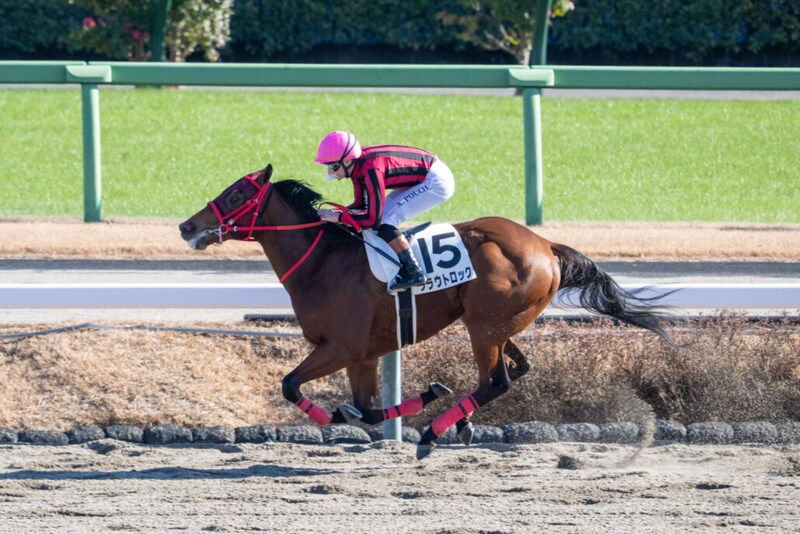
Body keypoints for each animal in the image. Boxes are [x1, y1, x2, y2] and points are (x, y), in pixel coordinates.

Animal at [179, 164, 676, 459]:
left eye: (236, 193)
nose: (187, 226)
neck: (322, 261)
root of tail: (544, 244)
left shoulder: (341, 347)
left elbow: (291, 385)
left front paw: (356, 414)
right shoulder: (362, 355)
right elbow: (366, 409)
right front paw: (419, 396)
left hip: (484, 325)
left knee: (496, 380)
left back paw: (433, 434)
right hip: (502, 323)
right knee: (517, 369)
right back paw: (460, 422)